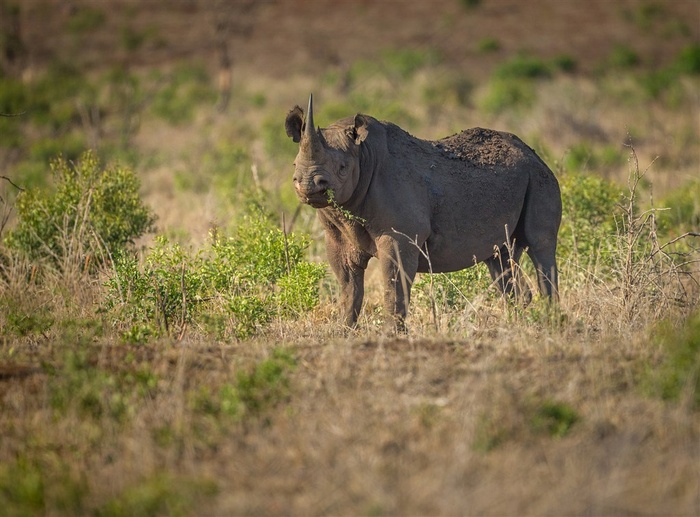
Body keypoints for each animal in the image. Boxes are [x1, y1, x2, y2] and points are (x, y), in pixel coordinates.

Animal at [282, 94, 560, 328]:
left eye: (342, 168)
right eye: (294, 165)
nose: (307, 184)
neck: (362, 155)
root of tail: (533, 153)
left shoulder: (399, 236)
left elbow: (394, 289)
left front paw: (391, 335)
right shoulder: (337, 238)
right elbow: (349, 289)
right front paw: (343, 332)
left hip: (539, 177)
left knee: (540, 247)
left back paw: (551, 321)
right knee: (499, 257)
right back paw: (518, 322)